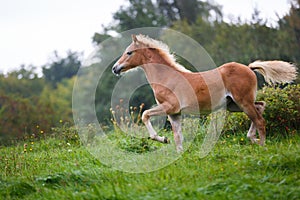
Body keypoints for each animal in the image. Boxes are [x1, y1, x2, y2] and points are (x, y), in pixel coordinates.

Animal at [112, 34, 298, 152]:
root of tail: (249, 68)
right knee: (260, 106)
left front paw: (161, 139)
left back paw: (261, 145)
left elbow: (145, 115)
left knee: (259, 120)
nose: (115, 68)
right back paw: (252, 138)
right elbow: (178, 136)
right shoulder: (174, 113)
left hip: (243, 102)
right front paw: (178, 153)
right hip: (235, 105)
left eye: (129, 52)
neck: (167, 77)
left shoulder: (169, 106)